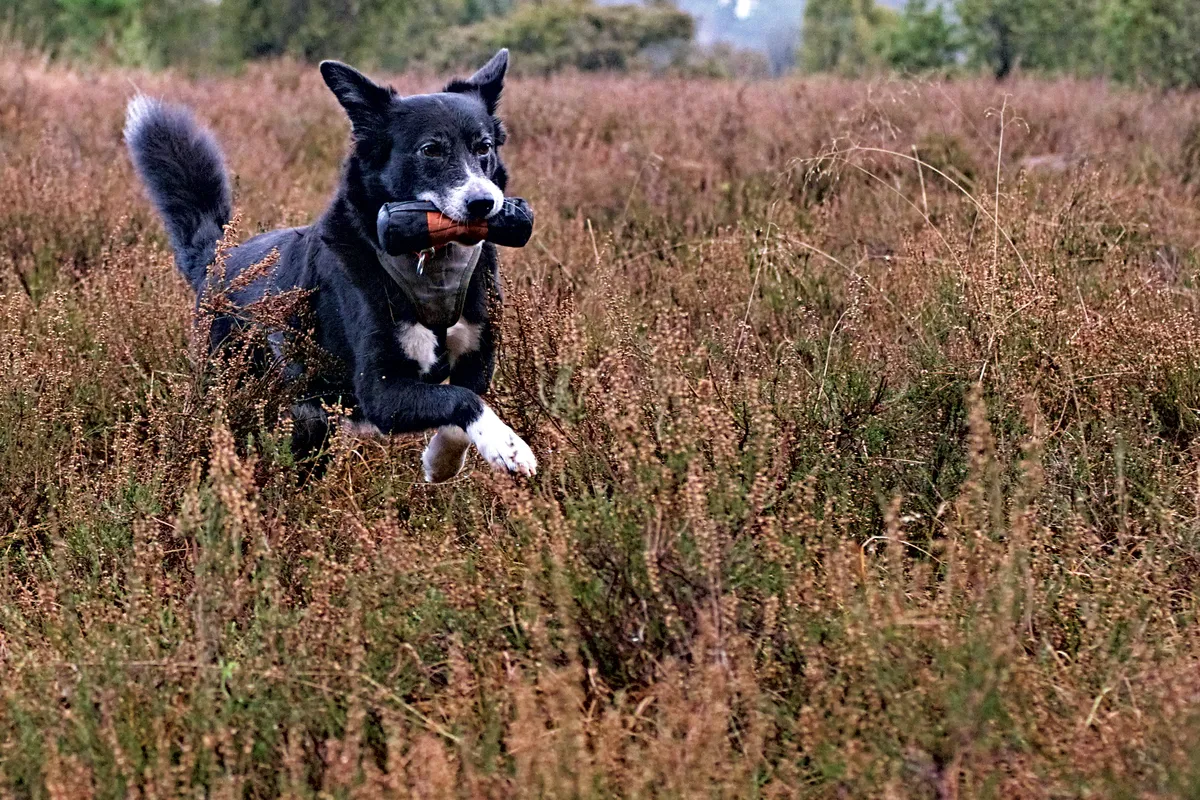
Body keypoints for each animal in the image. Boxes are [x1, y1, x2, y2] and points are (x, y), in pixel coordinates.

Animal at [125, 54, 535, 489]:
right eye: (431, 150)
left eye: (483, 147)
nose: (484, 203)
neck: (432, 262)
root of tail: (218, 260)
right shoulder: (381, 391)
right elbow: (462, 401)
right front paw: (508, 446)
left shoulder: (477, 358)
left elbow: (466, 403)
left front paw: (441, 462)